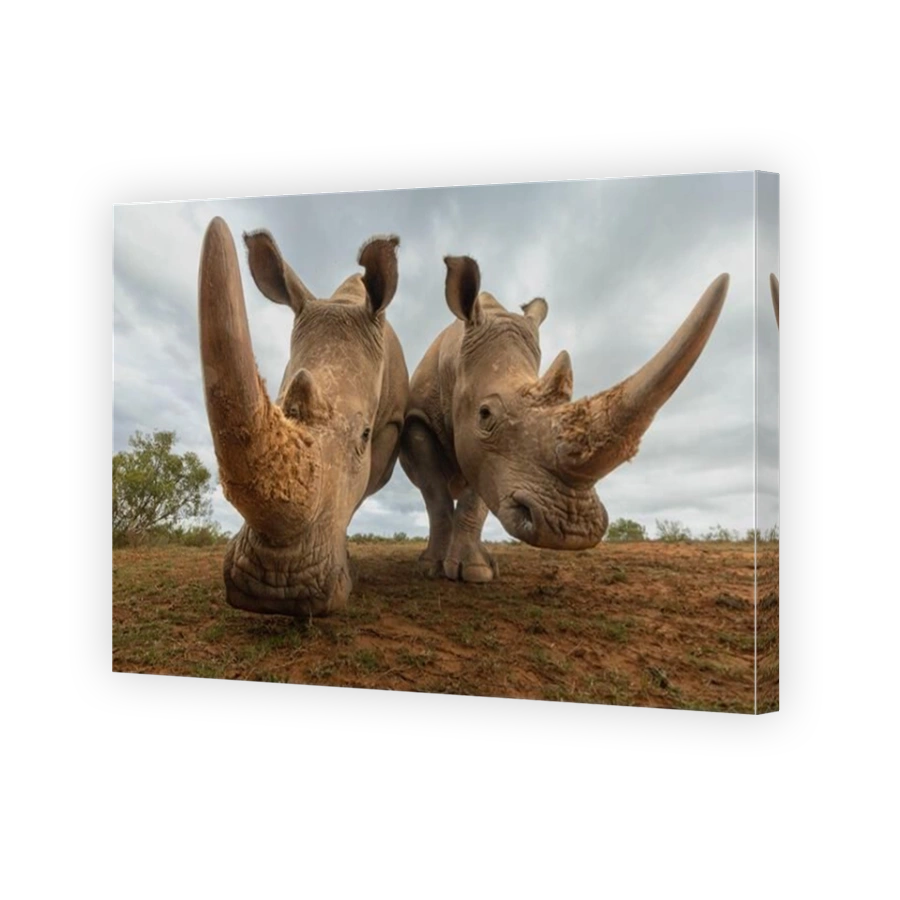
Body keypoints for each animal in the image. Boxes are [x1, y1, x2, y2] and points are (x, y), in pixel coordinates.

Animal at [198, 217, 409, 617]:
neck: (347, 301)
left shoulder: (391, 426)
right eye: (279, 410)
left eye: (365, 435)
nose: (274, 589)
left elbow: (357, 489)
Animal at [400, 256, 730, 582]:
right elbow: (436, 496)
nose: (572, 529)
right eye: (485, 415)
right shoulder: (419, 421)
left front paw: (476, 571)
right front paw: (431, 567)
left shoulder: (482, 456)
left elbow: (475, 497)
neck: (456, 364)